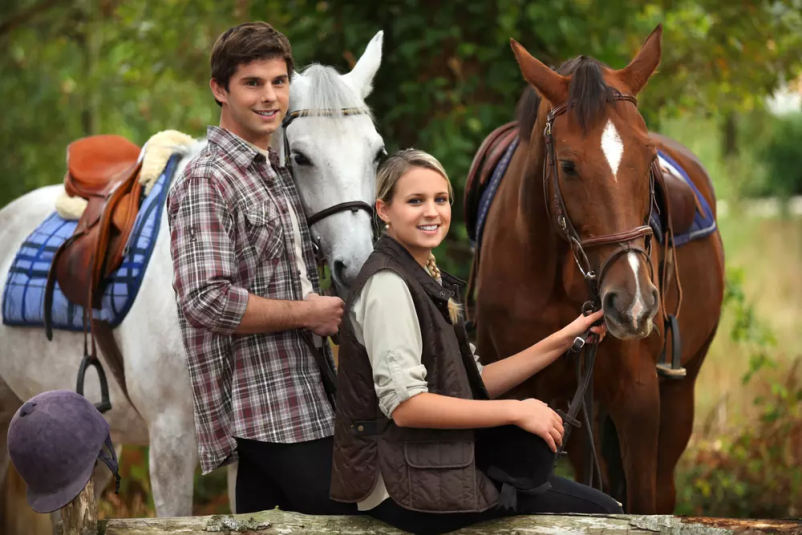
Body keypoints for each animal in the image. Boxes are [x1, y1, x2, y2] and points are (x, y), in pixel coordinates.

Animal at [469, 25, 724, 514]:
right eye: (568, 166)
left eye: (649, 160)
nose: (634, 304)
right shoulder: (514, 392)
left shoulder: (639, 399)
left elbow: (641, 502)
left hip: (678, 393)